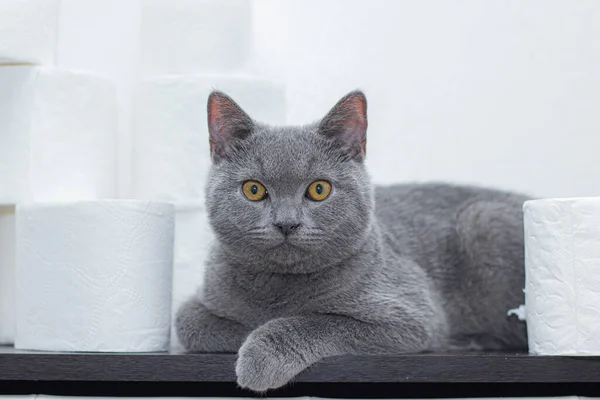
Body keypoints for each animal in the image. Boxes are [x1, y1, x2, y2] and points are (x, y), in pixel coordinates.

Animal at [176, 89, 528, 392]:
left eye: (319, 189)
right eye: (253, 189)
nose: (286, 223)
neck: (280, 288)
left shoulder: (413, 316)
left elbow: (319, 321)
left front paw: (261, 351)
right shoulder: (200, 298)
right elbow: (188, 323)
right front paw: (250, 328)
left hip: (483, 220)